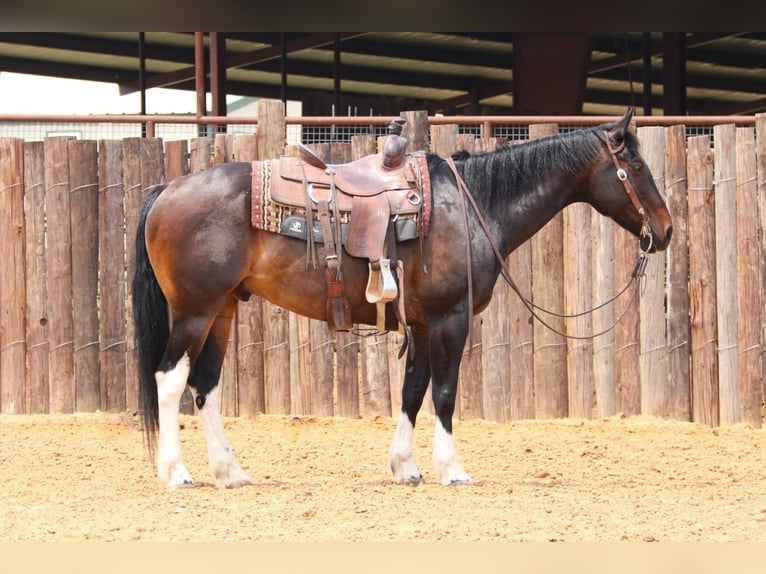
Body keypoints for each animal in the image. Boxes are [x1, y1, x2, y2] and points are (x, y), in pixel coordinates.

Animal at [135, 109, 676, 490]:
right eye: (634, 163)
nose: (667, 230)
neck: (473, 205)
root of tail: (168, 188)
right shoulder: (450, 318)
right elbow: (445, 392)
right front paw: (451, 469)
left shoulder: (420, 323)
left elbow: (413, 391)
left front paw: (405, 467)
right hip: (194, 311)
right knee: (170, 378)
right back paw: (177, 473)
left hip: (223, 309)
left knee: (205, 384)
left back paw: (230, 473)